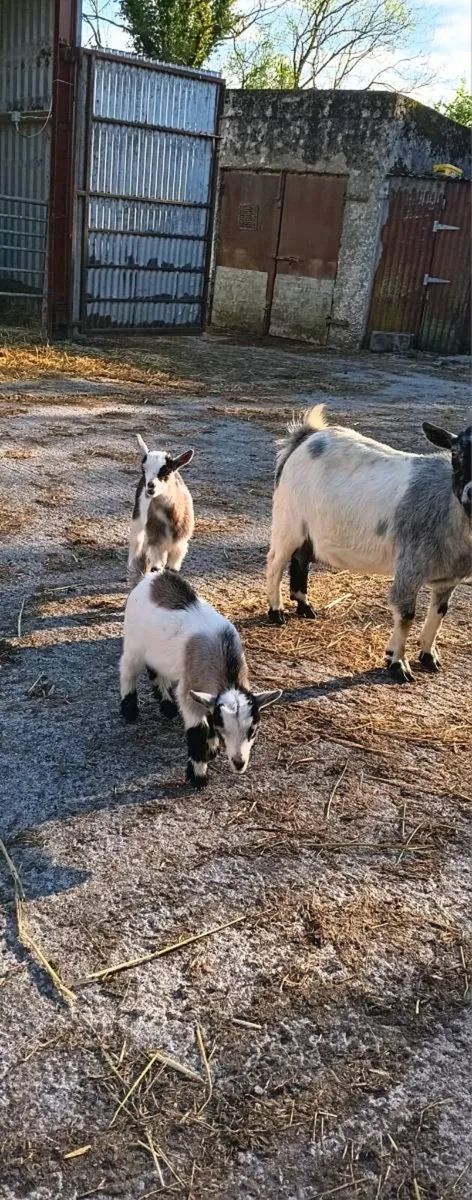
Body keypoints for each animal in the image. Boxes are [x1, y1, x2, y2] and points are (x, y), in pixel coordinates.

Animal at [120, 569, 282, 787]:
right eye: (223, 728)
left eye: (253, 730)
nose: (239, 763)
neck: (222, 648)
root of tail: (149, 577)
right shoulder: (189, 693)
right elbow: (198, 731)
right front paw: (198, 777)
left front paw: (211, 748)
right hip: (134, 644)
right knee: (127, 669)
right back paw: (129, 709)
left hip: (156, 651)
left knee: (155, 670)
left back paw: (167, 706)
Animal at [128, 435, 194, 573]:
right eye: (143, 469)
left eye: (167, 471)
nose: (150, 487)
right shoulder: (155, 545)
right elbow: (155, 568)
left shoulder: (179, 547)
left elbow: (172, 570)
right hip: (138, 517)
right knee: (136, 540)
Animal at [266, 405, 471, 683]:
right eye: (455, 453)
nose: (471, 494)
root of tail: (309, 435)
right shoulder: (410, 568)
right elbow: (406, 615)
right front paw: (397, 663)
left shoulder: (448, 578)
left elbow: (439, 613)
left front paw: (429, 656)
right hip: (289, 520)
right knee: (276, 562)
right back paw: (276, 611)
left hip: (308, 529)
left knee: (301, 559)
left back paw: (304, 606)